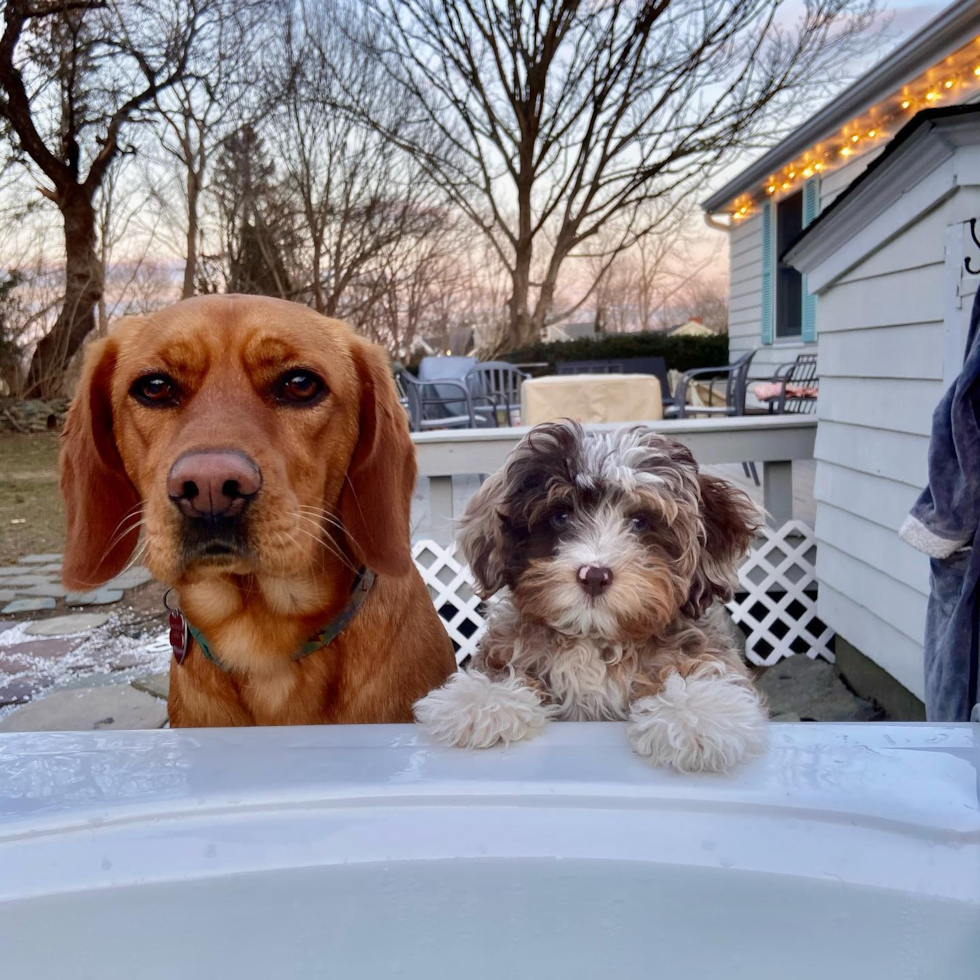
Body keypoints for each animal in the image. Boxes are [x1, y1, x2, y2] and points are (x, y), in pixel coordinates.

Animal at [414, 422, 764, 772]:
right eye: (560, 517)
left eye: (640, 522)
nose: (594, 575)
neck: (593, 637)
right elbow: (503, 668)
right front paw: (484, 698)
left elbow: (704, 666)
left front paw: (697, 713)